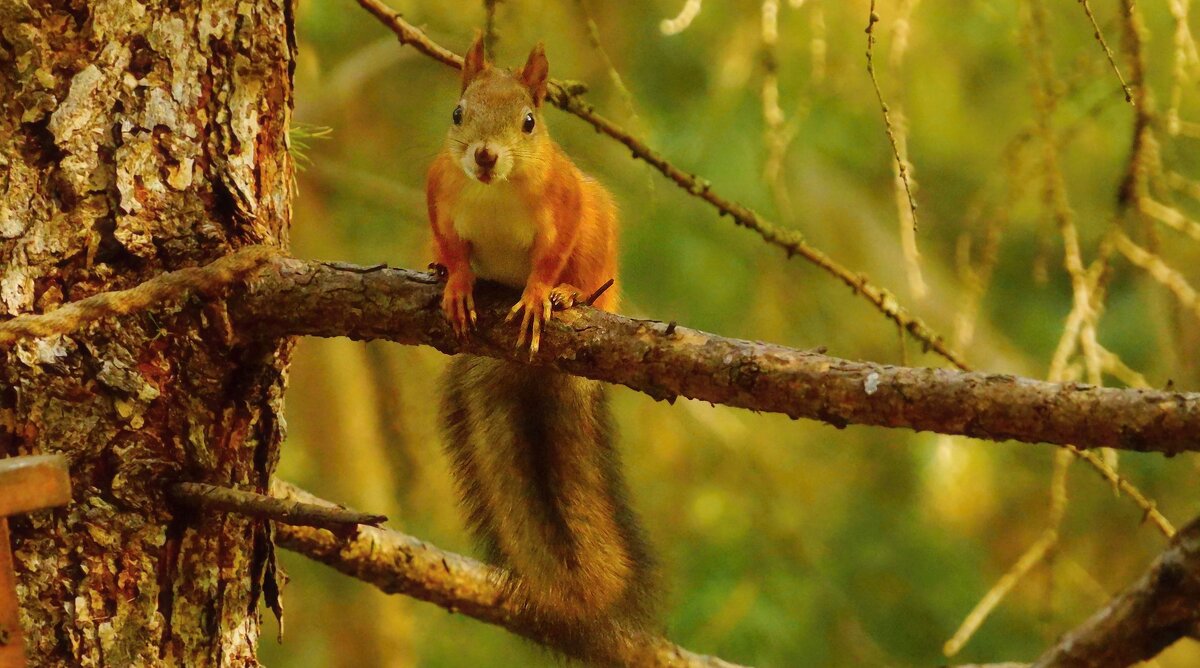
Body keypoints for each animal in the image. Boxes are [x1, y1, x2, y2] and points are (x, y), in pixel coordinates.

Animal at [429, 33, 662, 652]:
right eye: (457, 113)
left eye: (529, 122)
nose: (484, 156)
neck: (494, 193)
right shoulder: (439, 195)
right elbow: (453, 246)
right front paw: (456, 282)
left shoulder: (564, 208)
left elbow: (549, 257)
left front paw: (540, 294)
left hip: (600, 238)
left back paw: (567, 298)